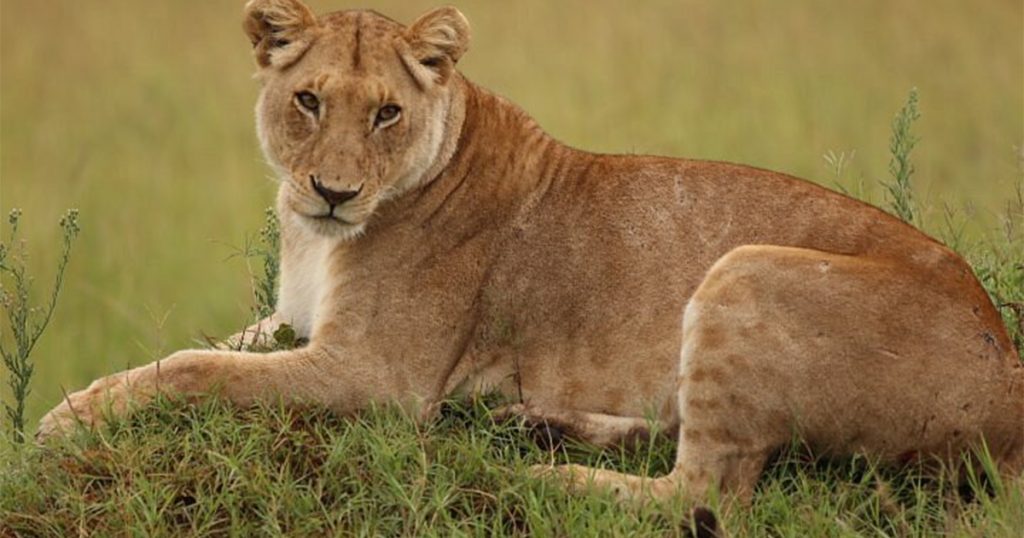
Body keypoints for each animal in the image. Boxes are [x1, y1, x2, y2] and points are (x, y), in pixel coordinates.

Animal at [39, 0, 1023, 511]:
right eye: (308, 101)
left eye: (386, 112)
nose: (333, 191)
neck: (317, 238)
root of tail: (1007, 365)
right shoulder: (293, 325)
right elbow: (199, 349)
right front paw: (80, 400)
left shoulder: (377, 374)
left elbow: (194, 370)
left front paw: (60, 423)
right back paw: (531, 423)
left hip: (745, 267)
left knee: (705, 493)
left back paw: (544, 471)